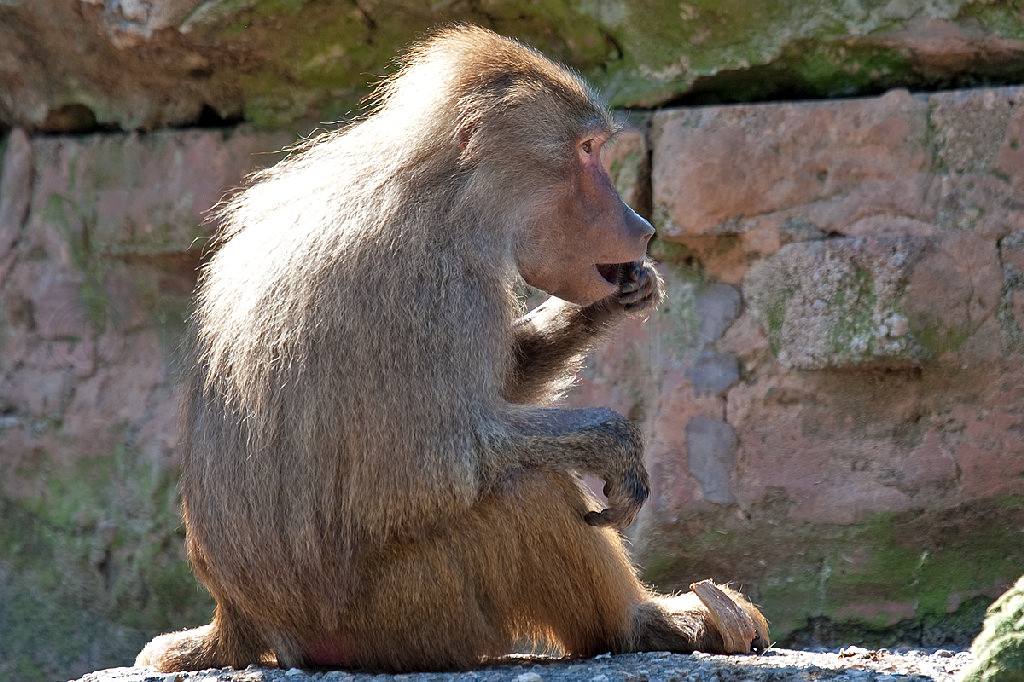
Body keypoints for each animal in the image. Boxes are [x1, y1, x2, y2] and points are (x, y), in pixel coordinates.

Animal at [136, 25, 768, 673]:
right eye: (587, 150)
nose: (641, 227)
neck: (441, 194)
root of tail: (241, 616)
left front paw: (613, 299)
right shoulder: (435, 287)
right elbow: (428, 470)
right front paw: (611, 442)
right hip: (402, 619)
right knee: (523, 490)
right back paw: (649, 625)